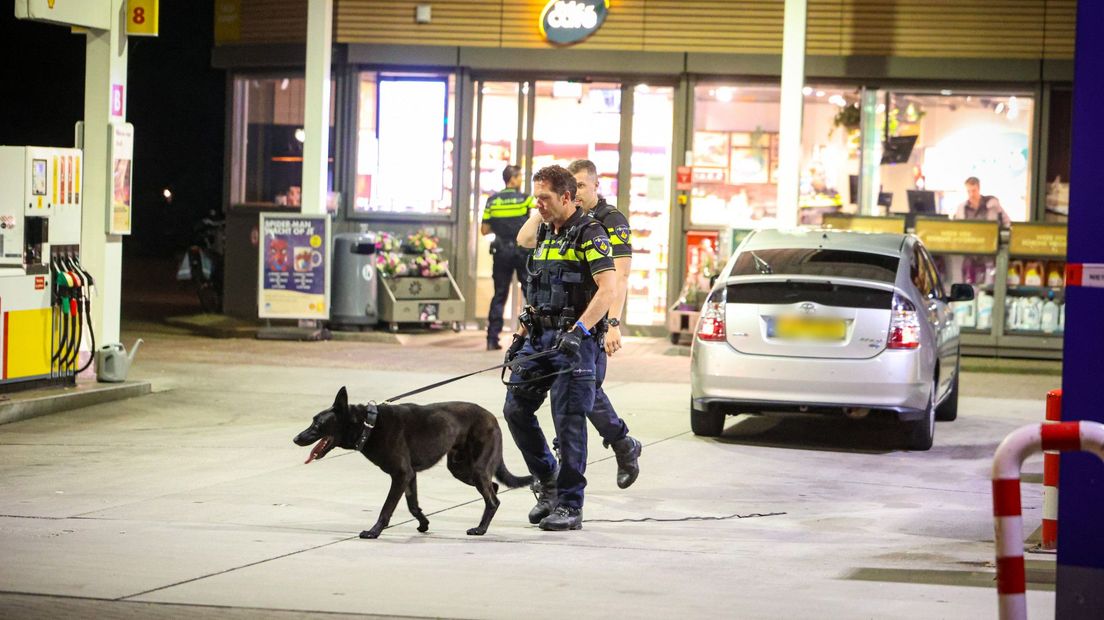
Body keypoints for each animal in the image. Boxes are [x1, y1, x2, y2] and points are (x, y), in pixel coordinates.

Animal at [293, 386, 534, 536]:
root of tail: (493, 418)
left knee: (493, 499)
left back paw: (481, 529)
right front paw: (424, 524)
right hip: (460, 468)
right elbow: (413, 505)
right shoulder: (409, 476)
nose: (295, 439)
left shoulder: (401, 474)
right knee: (493, 488)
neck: (369, 424)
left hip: (476, 468)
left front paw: (374, 531)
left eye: (316, 424)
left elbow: (387, 508)